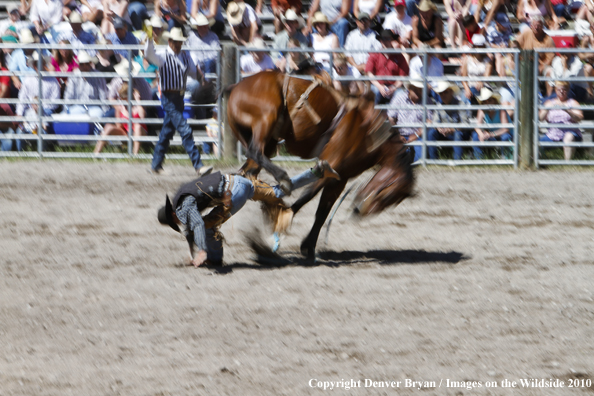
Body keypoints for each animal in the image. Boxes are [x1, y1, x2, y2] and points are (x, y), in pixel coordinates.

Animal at [193, 69, 412, 258]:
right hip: (265, 120)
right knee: (254, 152)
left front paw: (308, 246)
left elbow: (322, 211)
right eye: (389, 190)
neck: (367, 132)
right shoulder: (330, 163)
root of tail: (236, 86)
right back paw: (282, 179)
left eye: (393, 200)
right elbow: (307, 197)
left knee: (247, 171)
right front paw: (280, 222)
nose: (359, 210)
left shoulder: (340, 178)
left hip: (261, 139)